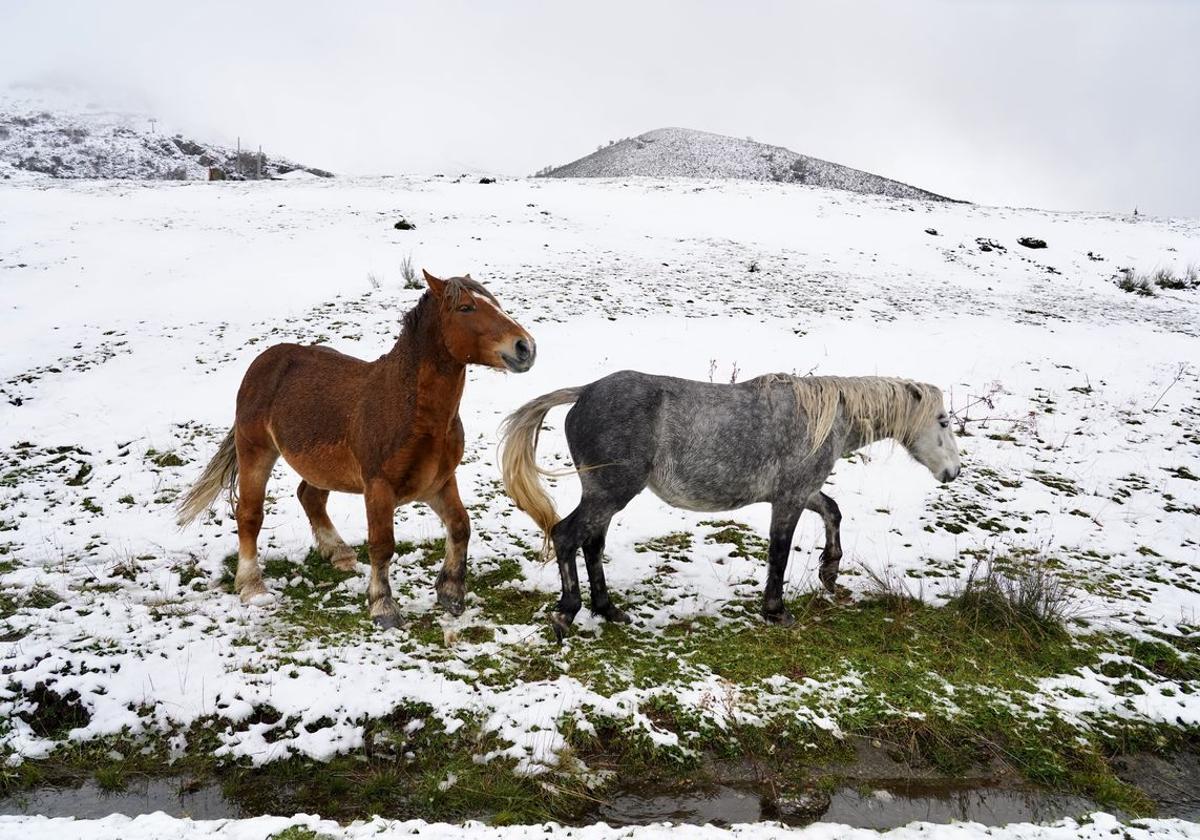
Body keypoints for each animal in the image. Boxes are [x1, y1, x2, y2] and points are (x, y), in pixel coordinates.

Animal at [176, 272, 535, 628]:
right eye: (465, 307)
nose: (525, 347)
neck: (413, 411)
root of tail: (265, 361)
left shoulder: (439, 483)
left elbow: (460, 526)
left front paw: (451, 594)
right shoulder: (378, 487)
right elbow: (382, 545)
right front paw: (383, 608)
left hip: (320, 467)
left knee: (310, 496)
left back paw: (340, 553)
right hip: (256, 452)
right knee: (250, 515)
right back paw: (253, 587)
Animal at [501, 369, 960, 638]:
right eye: (942, 421)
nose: (953, 471)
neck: (822, 418)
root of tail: (584, 393)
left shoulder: (800, 492)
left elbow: (833, 510)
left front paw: (829, 572)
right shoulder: (789, 499)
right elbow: (779, 553)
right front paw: (776, 611)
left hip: (606, 496)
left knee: (591, 544)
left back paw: (608, 610)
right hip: (610, 493)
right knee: (566, 536)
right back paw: (567, 613)